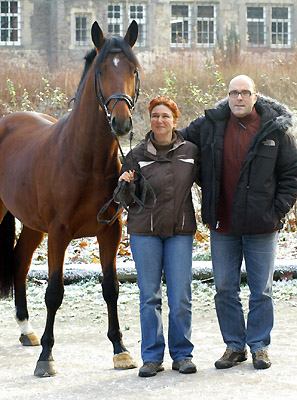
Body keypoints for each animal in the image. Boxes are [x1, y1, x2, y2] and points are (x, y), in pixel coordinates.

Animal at [0, 20, 139, 376]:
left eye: (133, 68)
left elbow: (111, 287)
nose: (121, 122)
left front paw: (120, 350)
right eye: (101, 70)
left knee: (20, 261)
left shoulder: (110, 231)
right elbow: (54, 292)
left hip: (33, 225)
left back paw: (26, 329)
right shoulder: (59, 234)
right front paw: (46, 357)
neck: (85, 160)